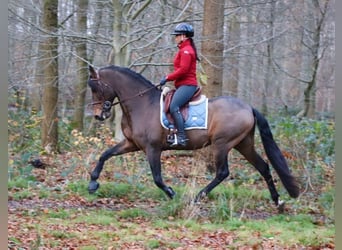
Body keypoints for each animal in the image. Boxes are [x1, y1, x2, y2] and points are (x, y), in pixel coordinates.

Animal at [86, 64, 300, 211]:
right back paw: (278, 201)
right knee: (263, 167)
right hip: (243, 144)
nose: (98, 115)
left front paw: (171, 193)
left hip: (222, 144)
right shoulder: (131, 143)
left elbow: (157, 178)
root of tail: (248, 107)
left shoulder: (152, 148)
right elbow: (105, 155)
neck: (142, 104)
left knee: (222, 172)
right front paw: (93, 183)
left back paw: (197, 197)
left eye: (96, 88)